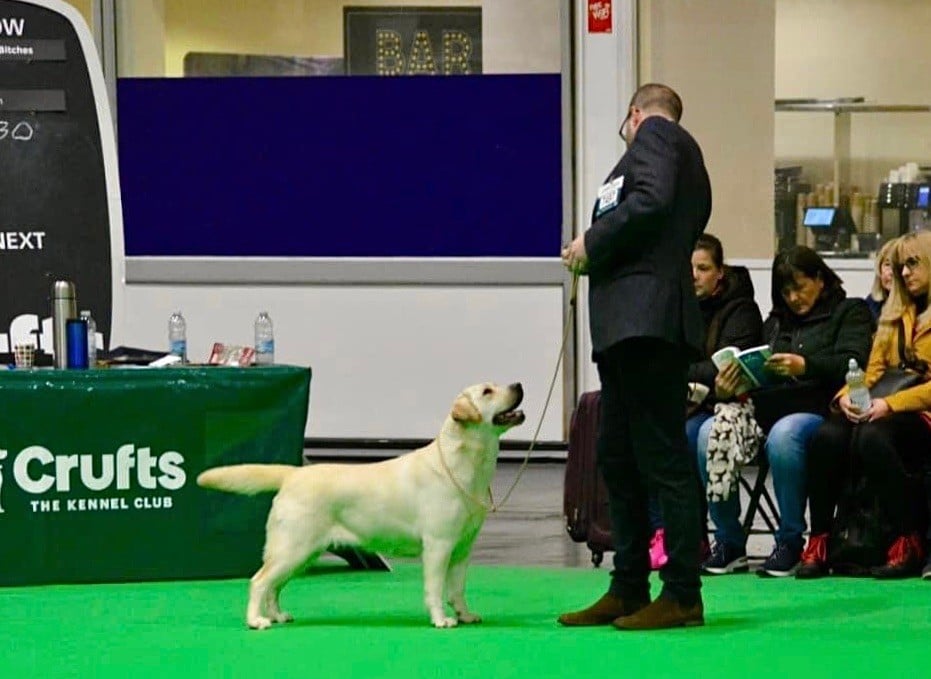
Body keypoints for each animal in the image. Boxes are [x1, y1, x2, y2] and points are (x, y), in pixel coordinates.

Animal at [198, 382, 524, 632]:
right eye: (487, 391)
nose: (519, 385)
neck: (464, 465)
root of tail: (293, 474)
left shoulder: (462, 548)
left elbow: (457, 589)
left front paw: (465, 614)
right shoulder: (438, 545)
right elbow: (435, 588)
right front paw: (441, 619)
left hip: (301, 553)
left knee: (274, 586)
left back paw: (277, 615)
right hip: (293, 548)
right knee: (259, 582)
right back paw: (256, 621)